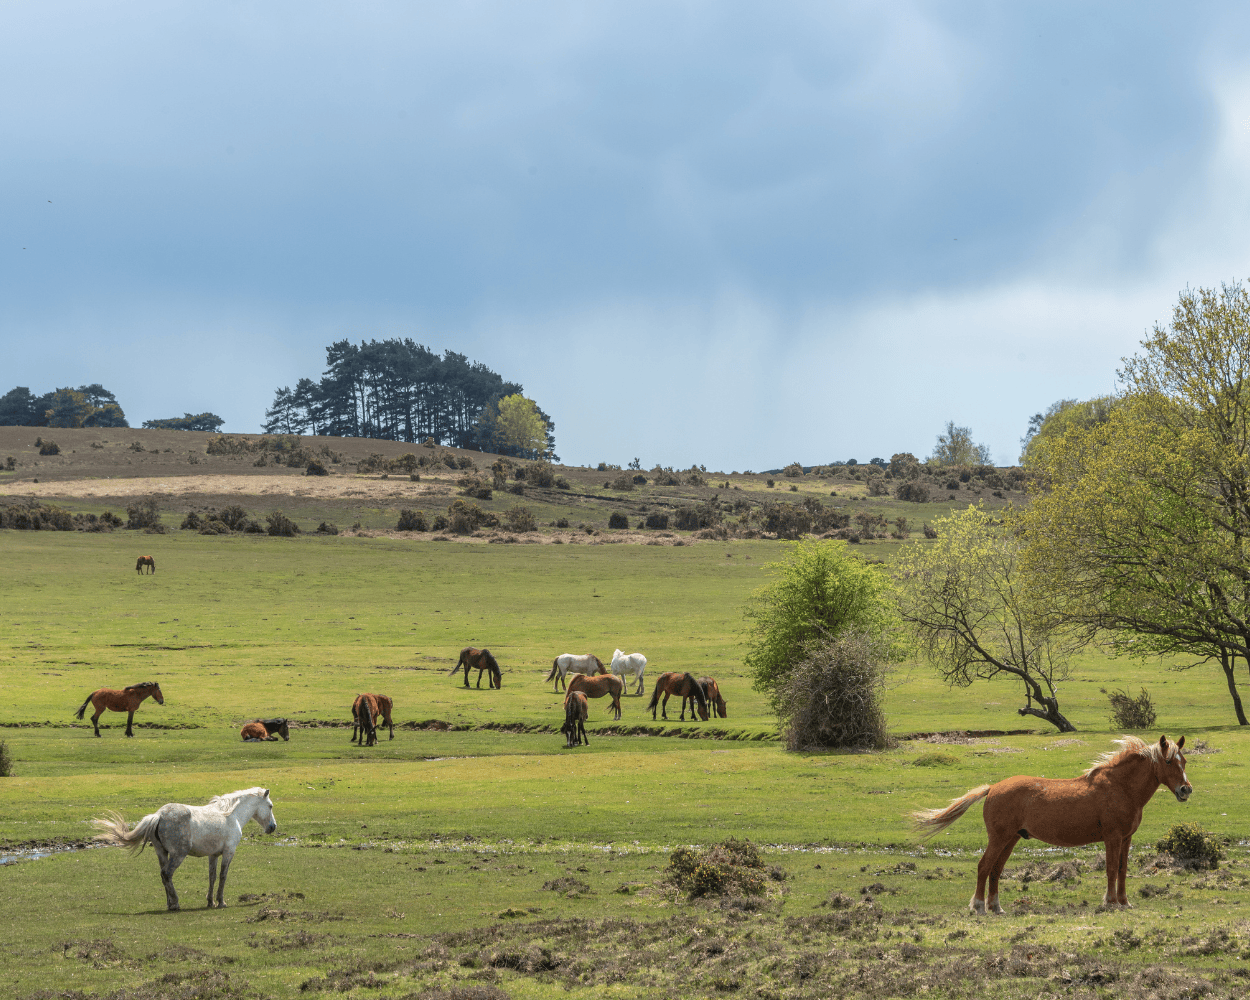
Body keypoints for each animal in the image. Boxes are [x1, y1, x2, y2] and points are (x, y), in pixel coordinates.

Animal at [92, 787, 277, 911]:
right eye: (270, 806)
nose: (272, 827)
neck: (231, 815)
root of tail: (158, 815)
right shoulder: (228, 852)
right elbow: (223, 876)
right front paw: (221, 902)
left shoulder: (213, 855)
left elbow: (212, 877)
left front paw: (210, 902)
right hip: (178, 854)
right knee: (167, 874)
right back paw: (175, 903)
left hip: (162, 853)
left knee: (163, 876)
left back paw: (170, 903)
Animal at [912, 735, 1193, 914]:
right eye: (1169, 761)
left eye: (1185, 761)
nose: (1185, 790)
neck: (1121, 787)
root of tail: (992, 788)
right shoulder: (1112, 838)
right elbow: (1112, 869)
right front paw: (1110, 903)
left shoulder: (1126, 838)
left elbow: (1122, 871)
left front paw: (1124, 903)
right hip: (999, 838)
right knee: (984, 867)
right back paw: (979, 907)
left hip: (1011, 839)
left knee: (996, 870)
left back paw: (996, 907)